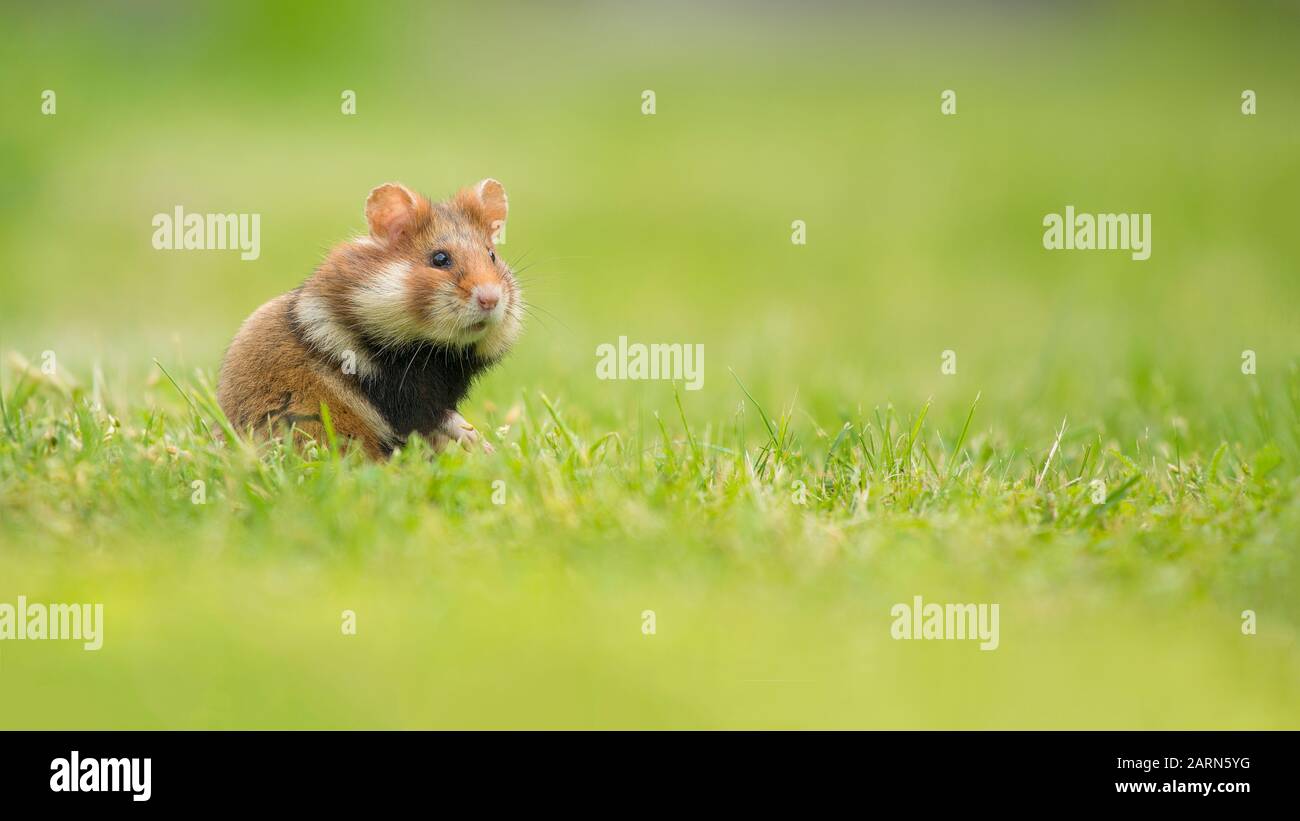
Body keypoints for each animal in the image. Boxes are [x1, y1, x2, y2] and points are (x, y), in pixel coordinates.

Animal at [215, 176, 520, 459]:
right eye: (440, 259)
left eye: (492, 255)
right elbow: (441, 418)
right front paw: (482, 444)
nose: (491, 299)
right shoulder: (393, 391)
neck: (434, 348)